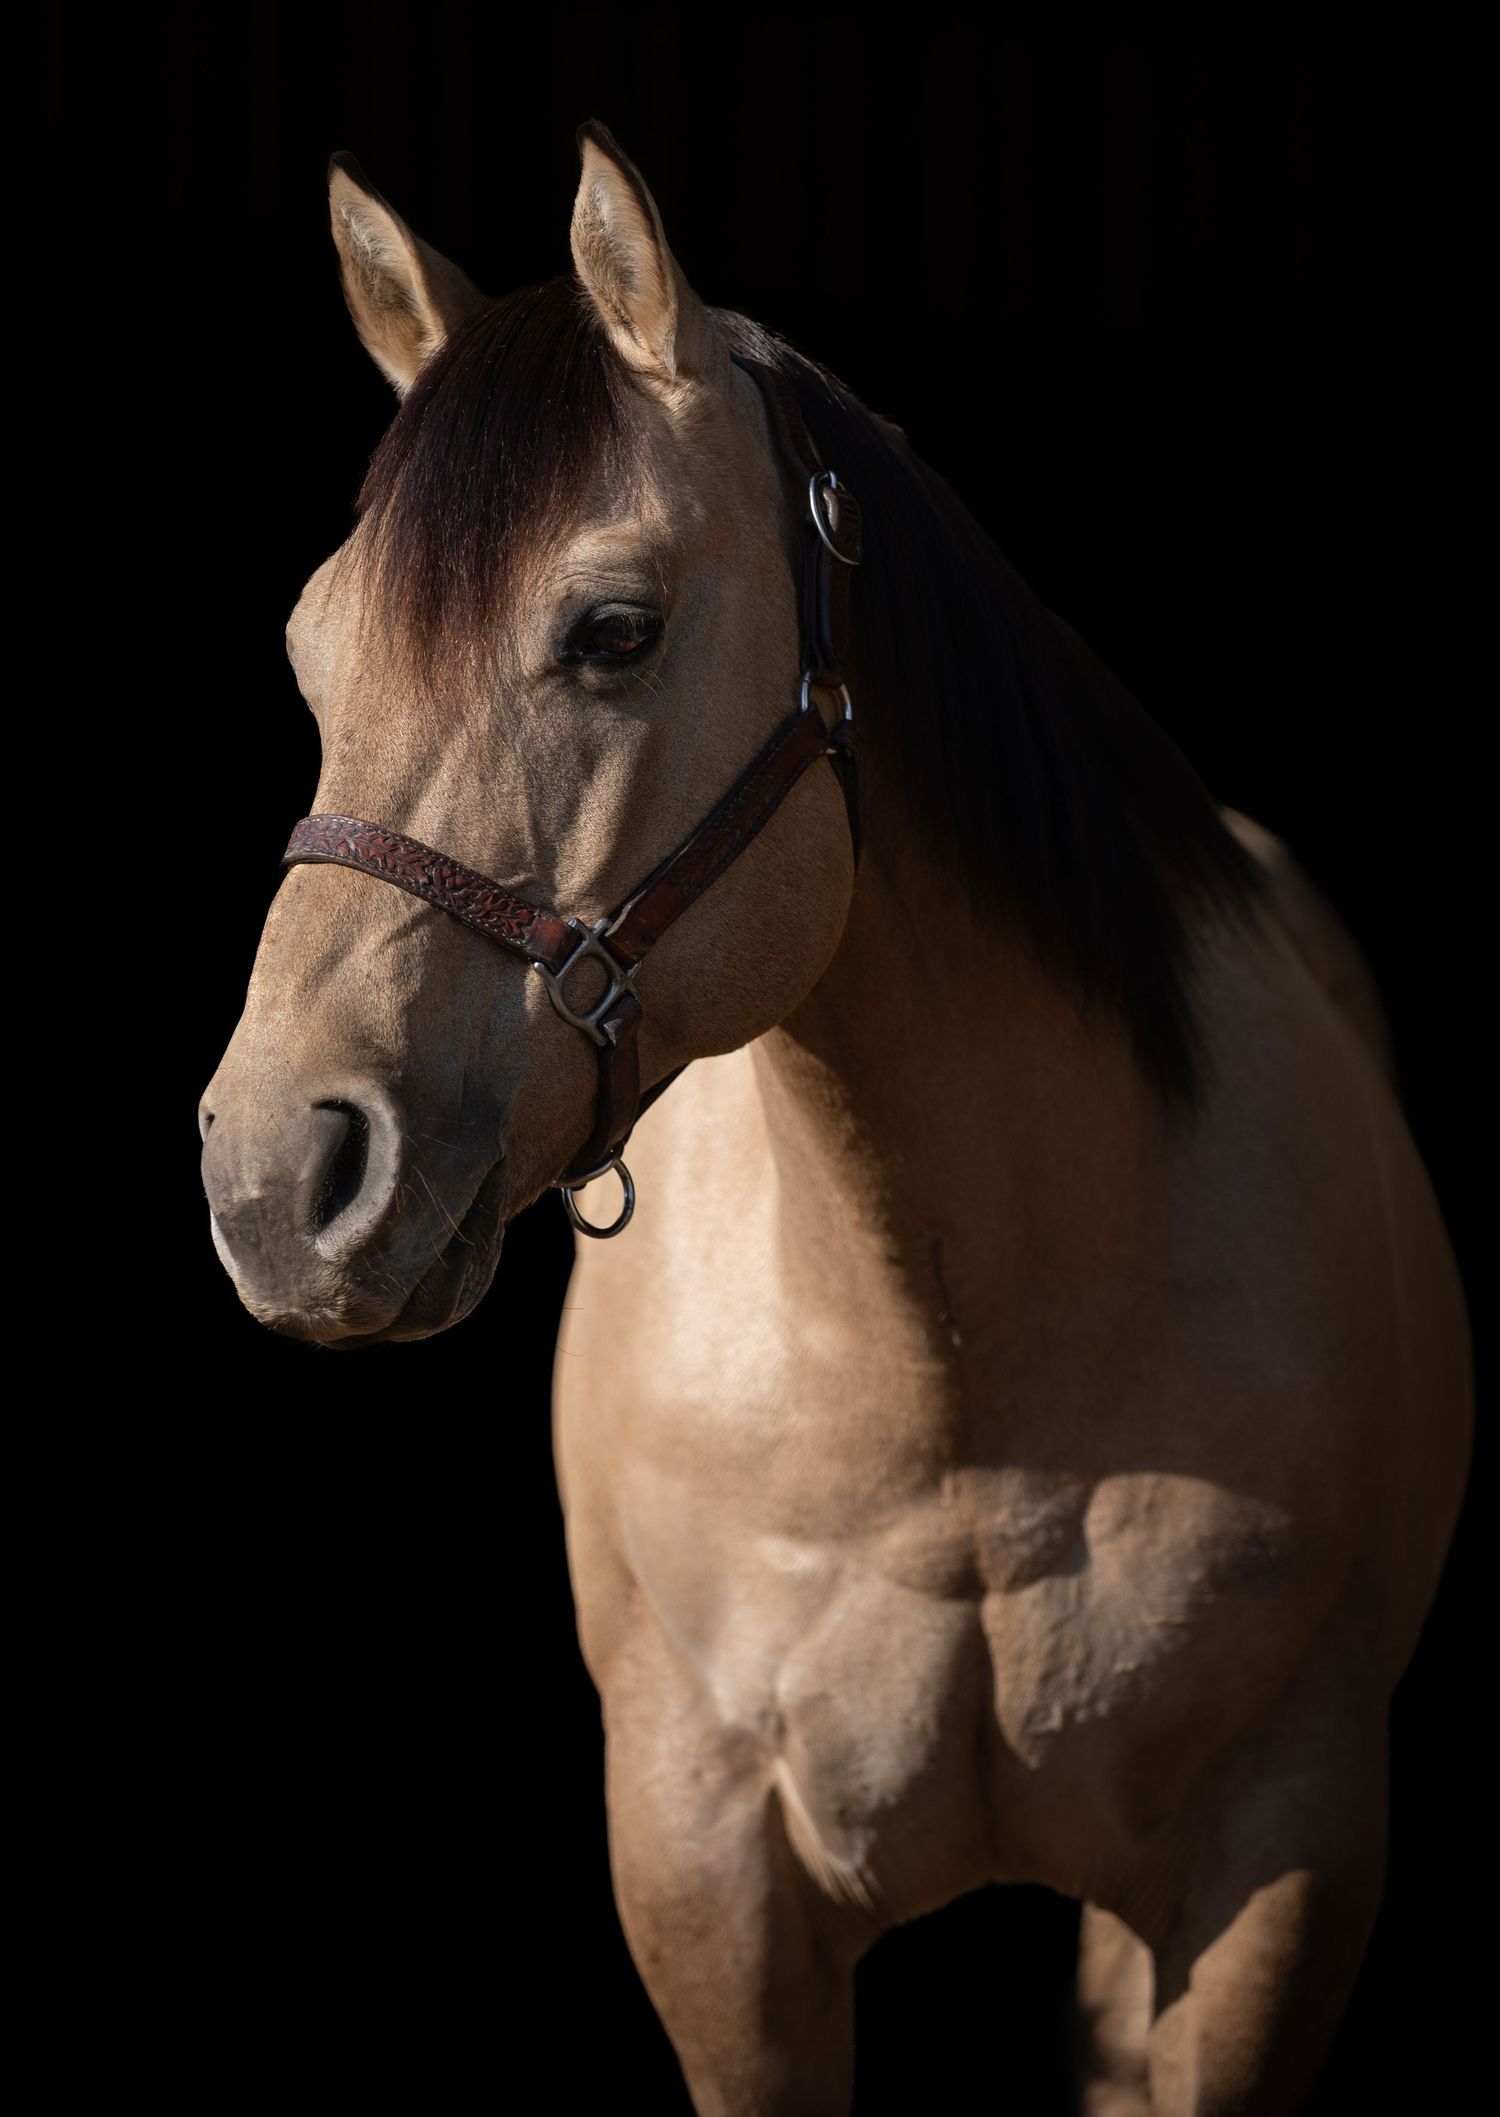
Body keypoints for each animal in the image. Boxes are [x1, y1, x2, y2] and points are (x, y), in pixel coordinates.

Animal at [199, 121, 1473, 2114]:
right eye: (311, 650)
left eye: (614, 629)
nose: (277, 1178)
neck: (953, 1362)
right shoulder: (712, 1884)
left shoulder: (1277, 1871)